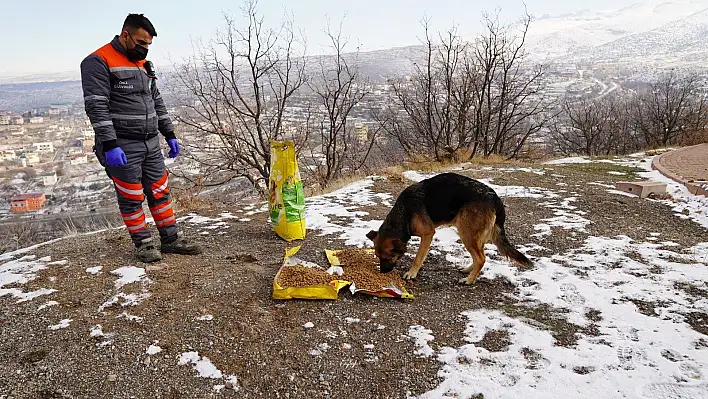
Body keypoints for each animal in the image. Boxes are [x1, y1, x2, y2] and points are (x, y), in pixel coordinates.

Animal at [370, 172, 532, 284]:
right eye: (377, 256)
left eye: (387, 257)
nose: (382, 272)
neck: (404, 212)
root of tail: (495, 197)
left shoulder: (428, 234)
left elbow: (418, 258)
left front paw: (412, 273)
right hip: (474, 235)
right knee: (480, 256)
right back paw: (469, 270)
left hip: (467, 234)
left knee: (481, 258)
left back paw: (469, 280)